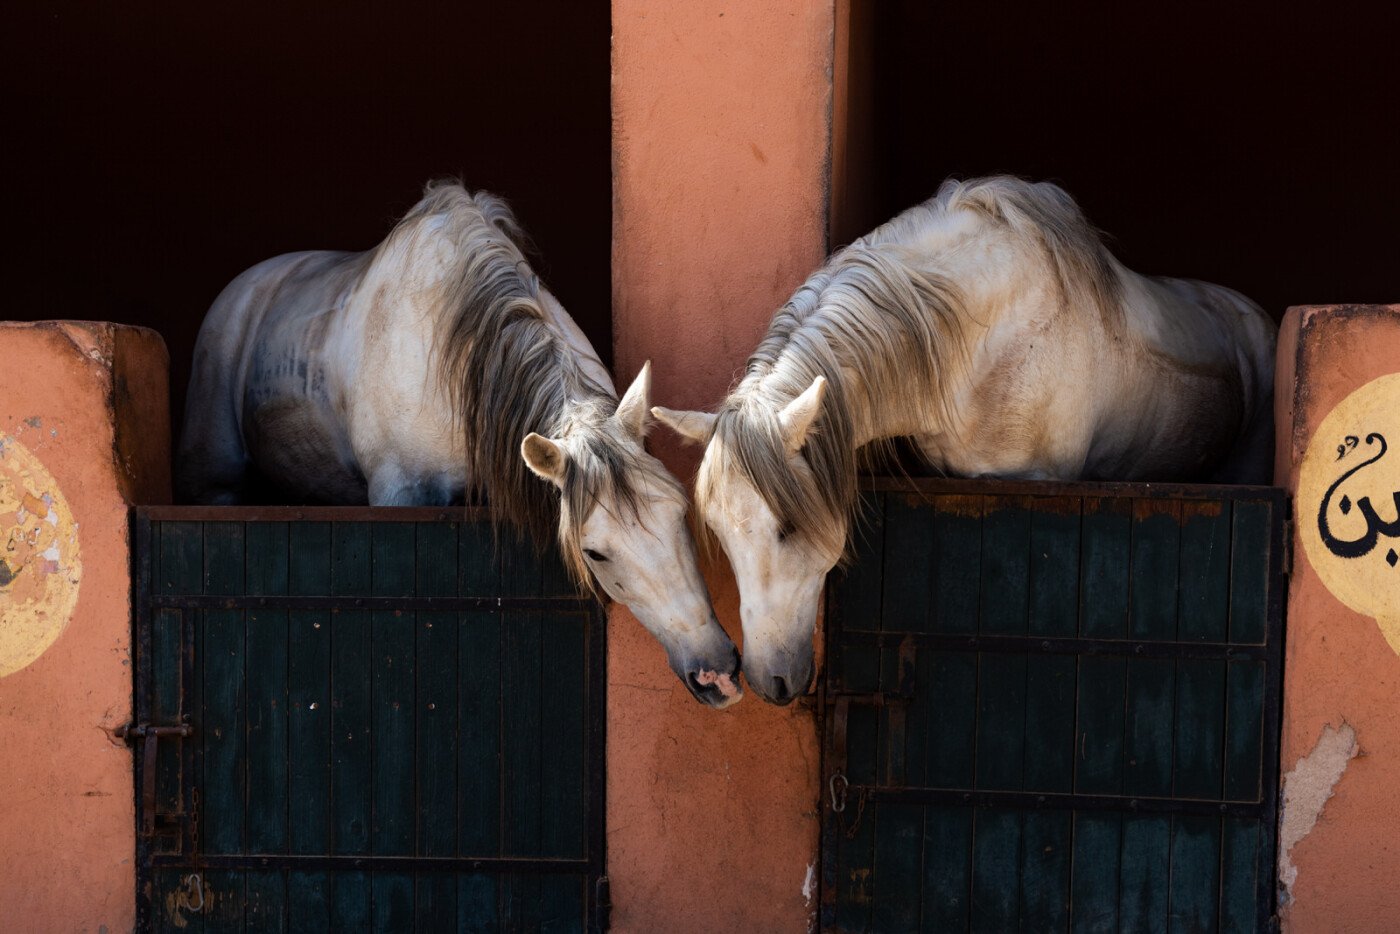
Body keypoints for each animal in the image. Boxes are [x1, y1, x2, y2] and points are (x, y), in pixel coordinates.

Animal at [180, 180, 739, 708]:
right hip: (216, 480)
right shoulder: (399, 496)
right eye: (594, 553)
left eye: (680, 512)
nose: (717, 674)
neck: (457, 368)